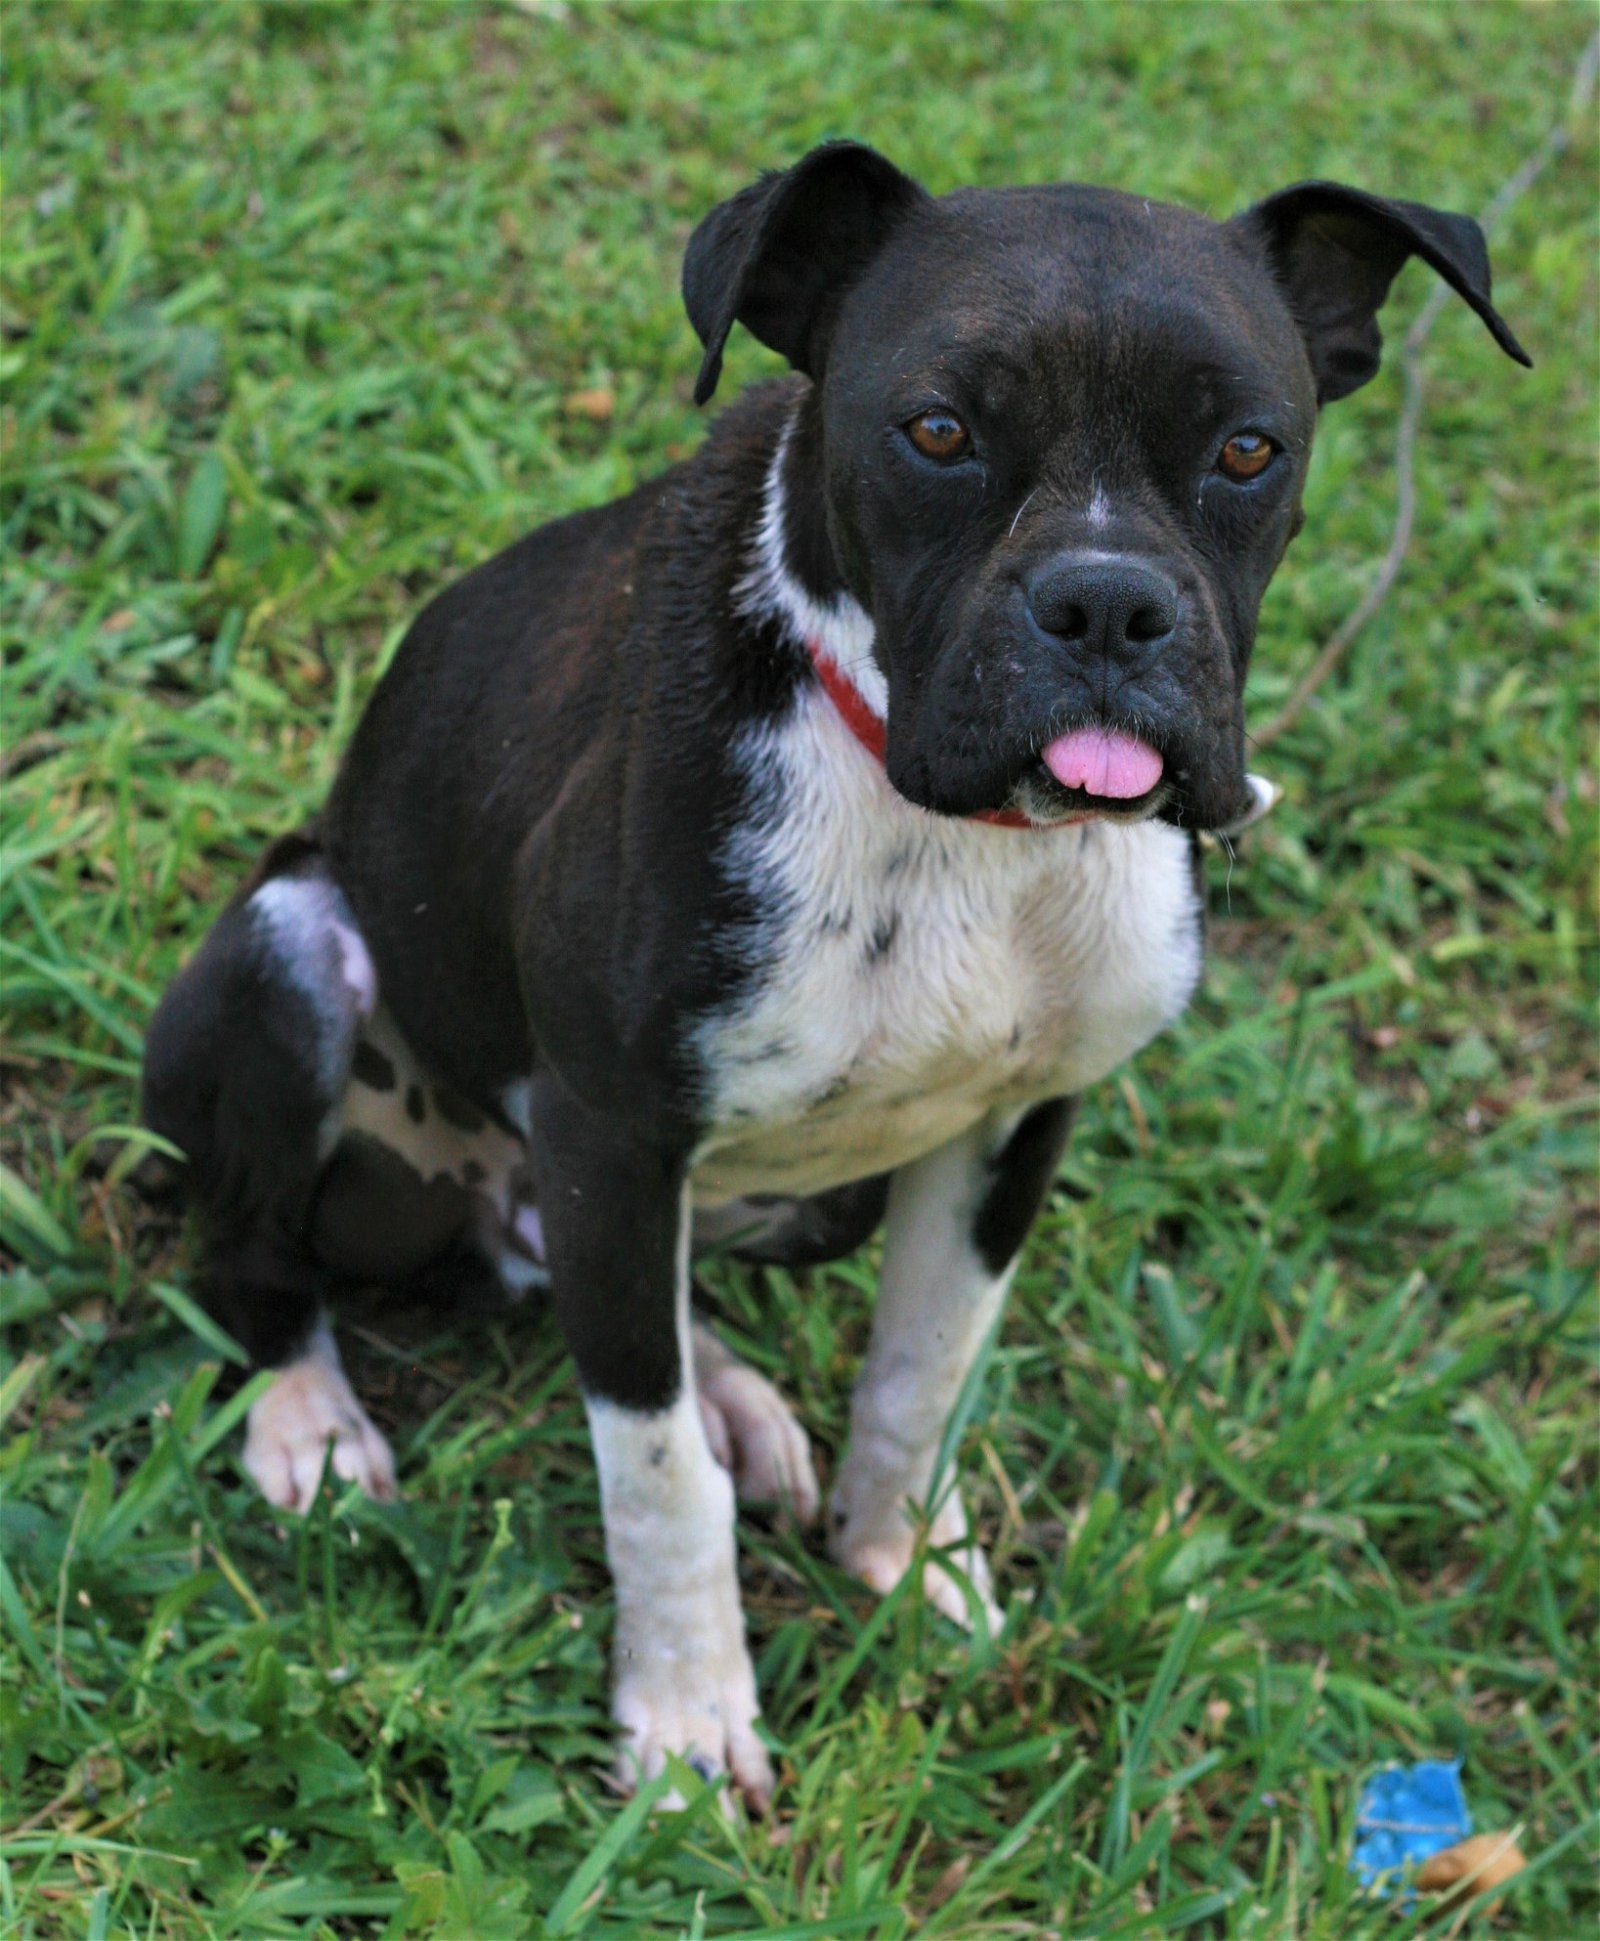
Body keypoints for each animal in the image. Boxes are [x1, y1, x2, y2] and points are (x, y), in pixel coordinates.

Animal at [143, 143, 1530, 1809]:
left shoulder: (1011, 1132)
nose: (1110, 604)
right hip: (292, 958)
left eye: (1250, 450)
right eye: (937, 431)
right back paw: (312, 1416)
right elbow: (654, 1475)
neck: (968, 836)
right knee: (261, 1252)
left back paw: (732, 1387)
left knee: (614, 1292)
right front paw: (686, 1722)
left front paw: (901, 1566)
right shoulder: (613, 1124)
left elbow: (920, 1374)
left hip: (766, 1197)